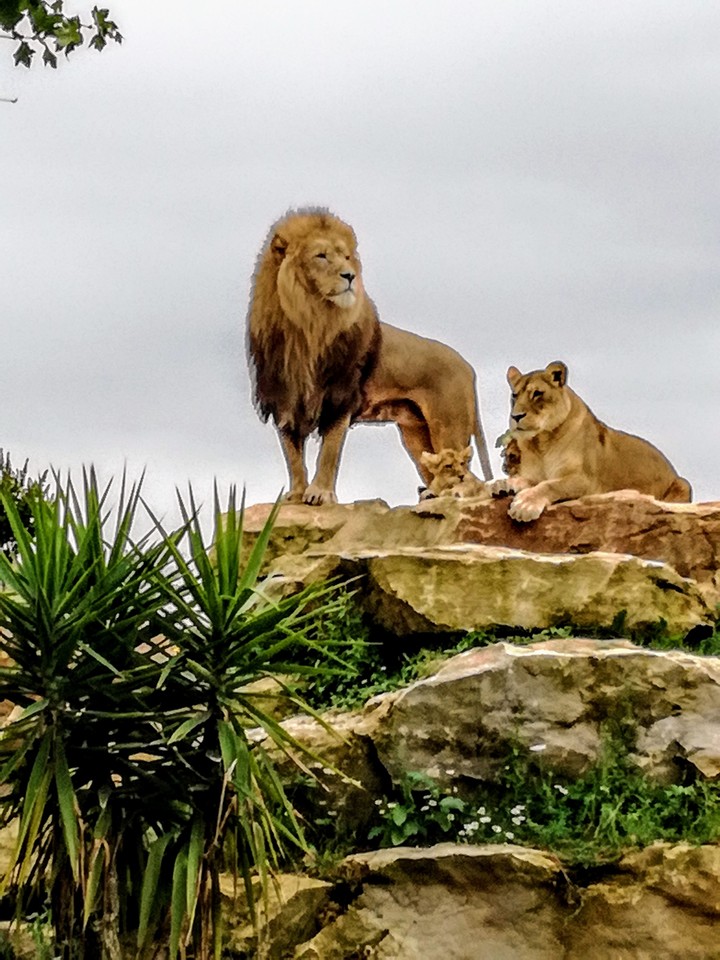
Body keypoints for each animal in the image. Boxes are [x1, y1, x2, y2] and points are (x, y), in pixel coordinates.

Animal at [247, 208, 492, 504]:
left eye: (346, 256)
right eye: (321, 255)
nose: (350, 276)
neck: (308, 324)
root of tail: (468, 366)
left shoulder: (339, 397)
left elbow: (329, 452)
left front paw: (320, 494)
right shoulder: (284, 402)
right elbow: (293, 457)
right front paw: (295, 495)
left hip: (449, 427)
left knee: (466, 473)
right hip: (417, 436)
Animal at [490, 361, 692, 522]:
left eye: (537, 393)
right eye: (515, 395)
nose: (516, 416)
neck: (541, 443)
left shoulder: (585, 480)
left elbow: (551, 485)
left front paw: (525, 505)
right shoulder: (536, 474)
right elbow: (529, 479)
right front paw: (503, 485)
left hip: (683, 484)